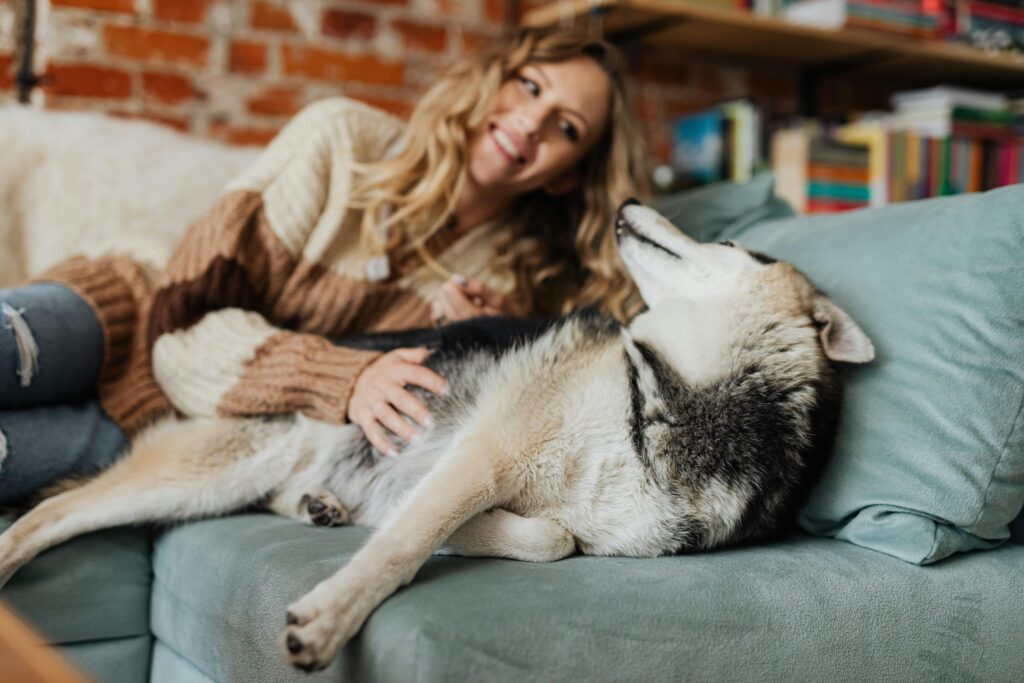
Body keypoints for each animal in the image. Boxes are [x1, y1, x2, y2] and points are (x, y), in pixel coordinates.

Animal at [0, 200, 872, 671]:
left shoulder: (560, 509)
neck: (664, 393)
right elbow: (403, 547)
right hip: (209, 469)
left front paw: (458, 531)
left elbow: (552, 538)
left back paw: (323, 506)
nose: (629, 203)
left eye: (731, 245)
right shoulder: (485, 455)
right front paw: (332, 615)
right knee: (48, 513)